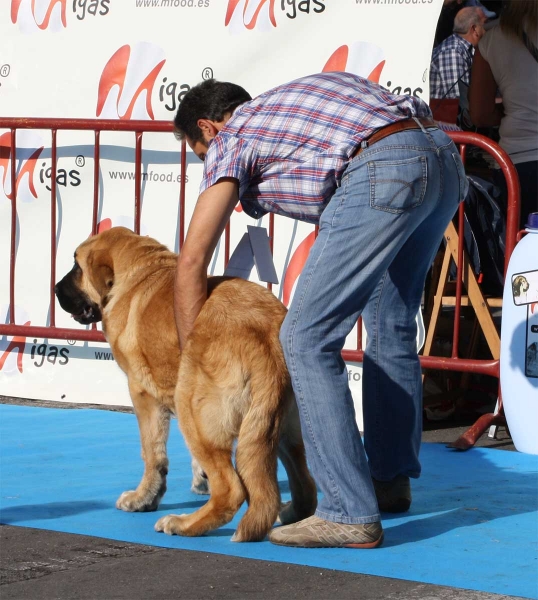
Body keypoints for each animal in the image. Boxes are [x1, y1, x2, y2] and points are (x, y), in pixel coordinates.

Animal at [54, 227, 314, 540]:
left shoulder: (143, 395)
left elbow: (152, 454)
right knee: (304, 484)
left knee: (232, 490)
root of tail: (263, 333)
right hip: (276, 427)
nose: (55, 290)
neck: (139, 270)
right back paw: (288, 514)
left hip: (193, 408)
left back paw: (184, 524)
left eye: (77, 266)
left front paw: (142, 498)